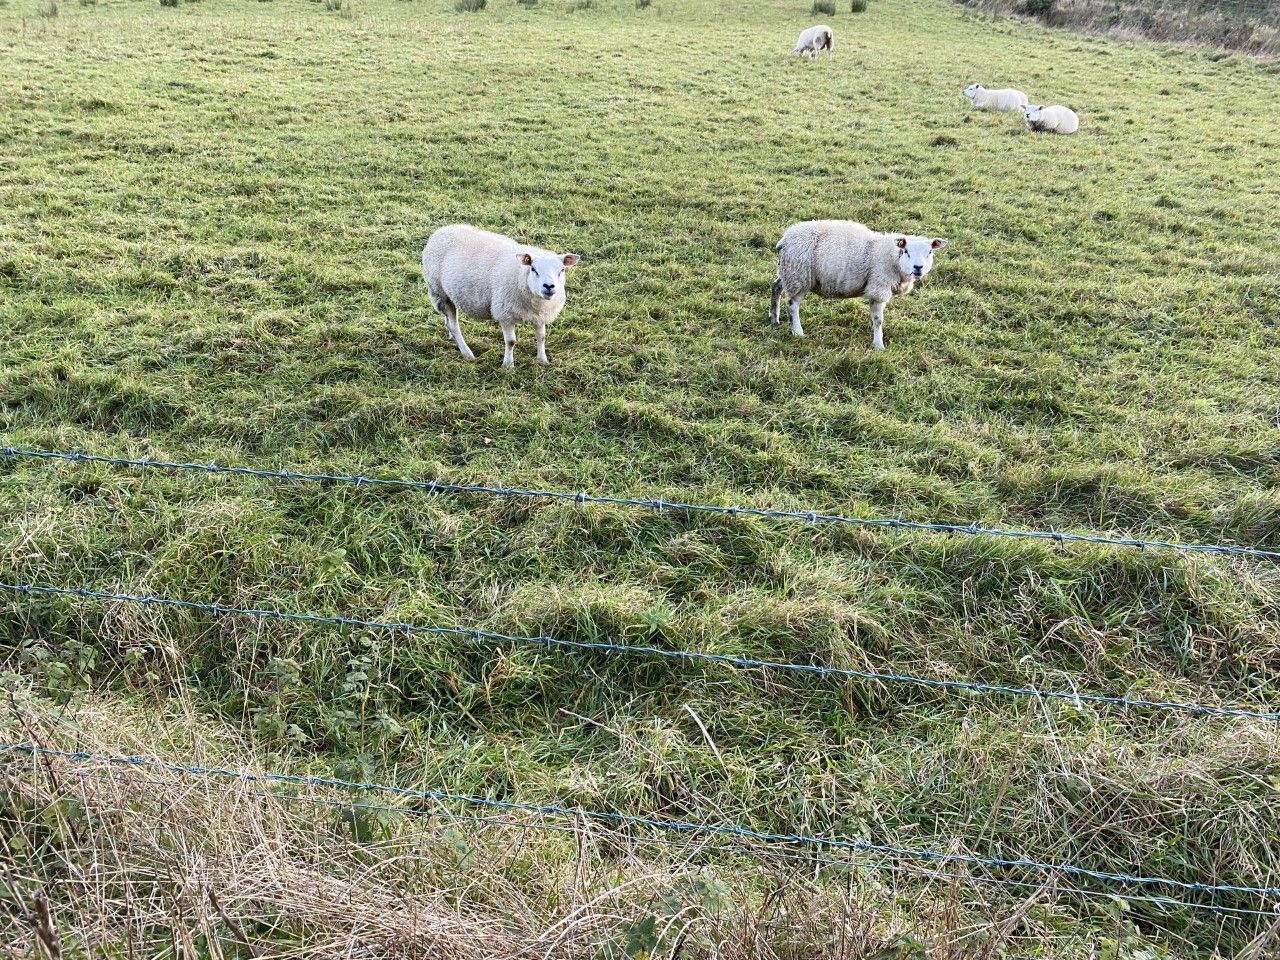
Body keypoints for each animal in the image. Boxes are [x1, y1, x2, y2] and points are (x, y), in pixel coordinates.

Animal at [422, 224, 580, 369]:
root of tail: (442, 230)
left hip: (448, 295)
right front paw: (508, 365)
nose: (549, 286)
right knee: (453, 325)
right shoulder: (505, 314)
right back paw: (467, 353)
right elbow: (511, 342)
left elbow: (541, 337)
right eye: (534, 269)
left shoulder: (540, 315)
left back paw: (452, 337)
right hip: (439, 292)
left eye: (562, 270)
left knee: (449, 320)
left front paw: (542, 360)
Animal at [768, 221, 948, 351]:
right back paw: (797, 332)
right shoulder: (878, 288)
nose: (918, 267)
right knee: (792, 305)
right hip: (799, 275)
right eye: (906, 251)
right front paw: (878, 346)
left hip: (788, 272)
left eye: (929, 252)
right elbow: (878, 320)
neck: (892, 257)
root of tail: (785, 239)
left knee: (776, 286)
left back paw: (774, 317)